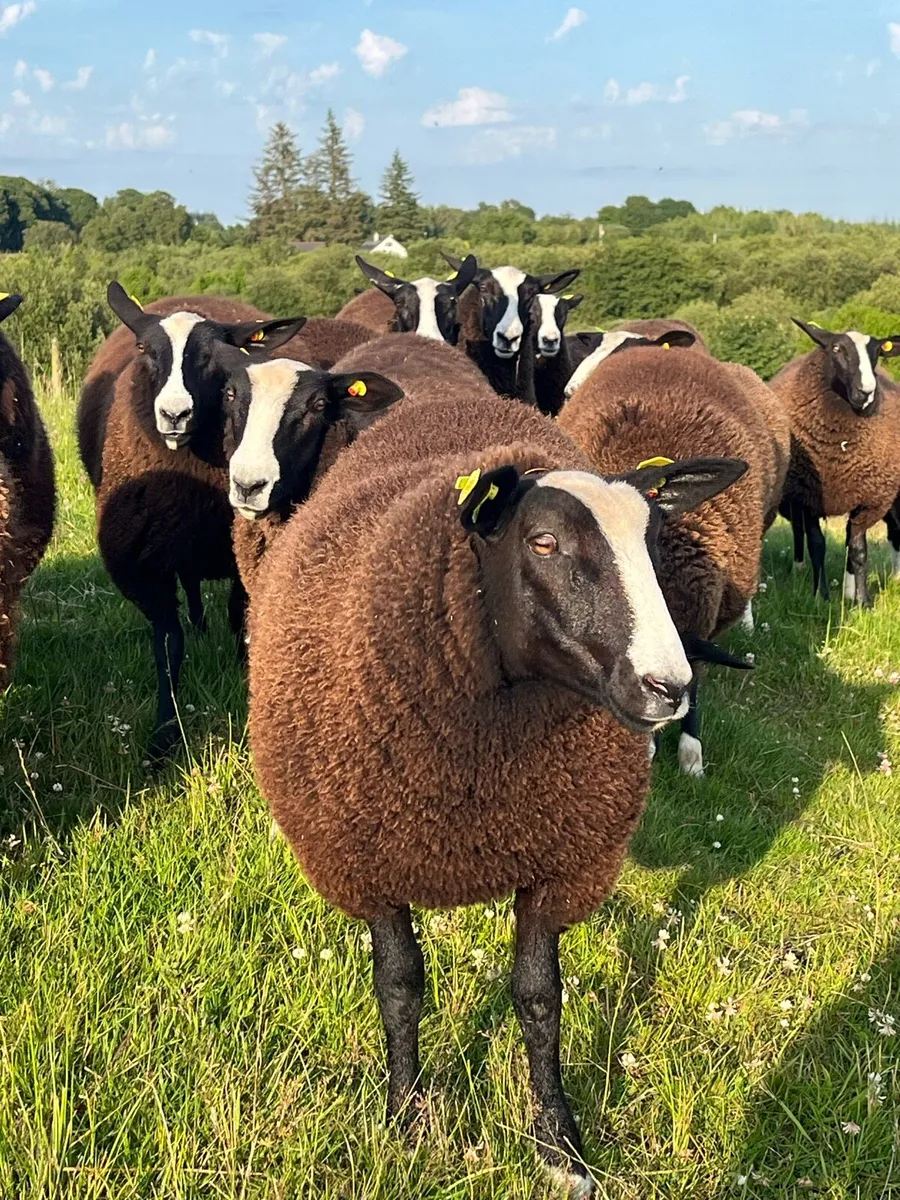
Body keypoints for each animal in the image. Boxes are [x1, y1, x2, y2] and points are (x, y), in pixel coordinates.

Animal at [80, 282, 305, 759]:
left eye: (215, 355)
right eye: (144, 349)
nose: (174, 414)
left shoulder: (241, 551)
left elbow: (240, 621)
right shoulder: (145, 563)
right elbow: (168, 645)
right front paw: (162, 737)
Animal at [246, 374, 744, 1194]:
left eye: (651, 543)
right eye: (543, 542)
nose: (668, 686)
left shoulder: (559, 857)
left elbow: (540, 999)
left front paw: (560, 1147)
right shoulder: (369, 861)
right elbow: (399, 987)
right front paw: (406, 1121)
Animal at [772, 319, 900, 605]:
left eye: (877, 352)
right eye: (837, 348)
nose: (866, 392)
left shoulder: (868, 500)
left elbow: (859, 550)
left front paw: (863, 601)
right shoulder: (806, 497)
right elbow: (817, 545)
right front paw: (820, 595)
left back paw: (849, 589)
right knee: (798, 531)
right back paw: (799, 569)